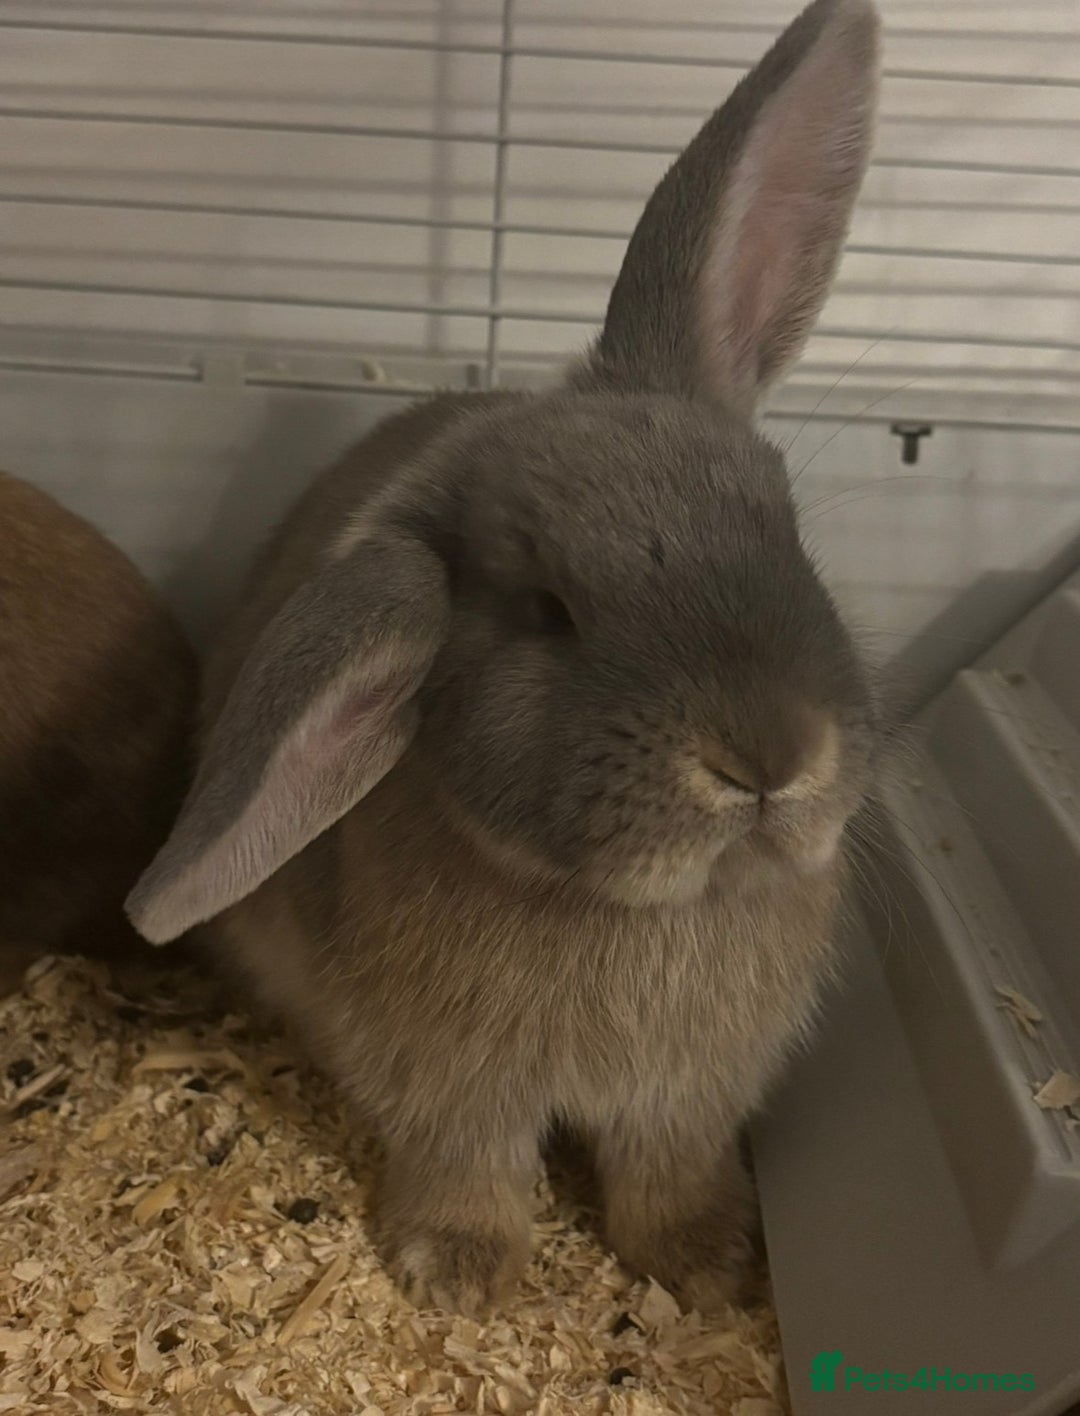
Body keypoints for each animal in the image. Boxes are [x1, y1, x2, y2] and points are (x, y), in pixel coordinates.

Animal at [128, 0, 881, 1315]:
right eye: (545, 609)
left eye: (783, 528)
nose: (767, 761)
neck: (639, 908)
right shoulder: (446, 1084)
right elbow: (468, 1161)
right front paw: (458, 1275)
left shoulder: (691, 1095)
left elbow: (668, 1164)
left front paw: (705, 1264)